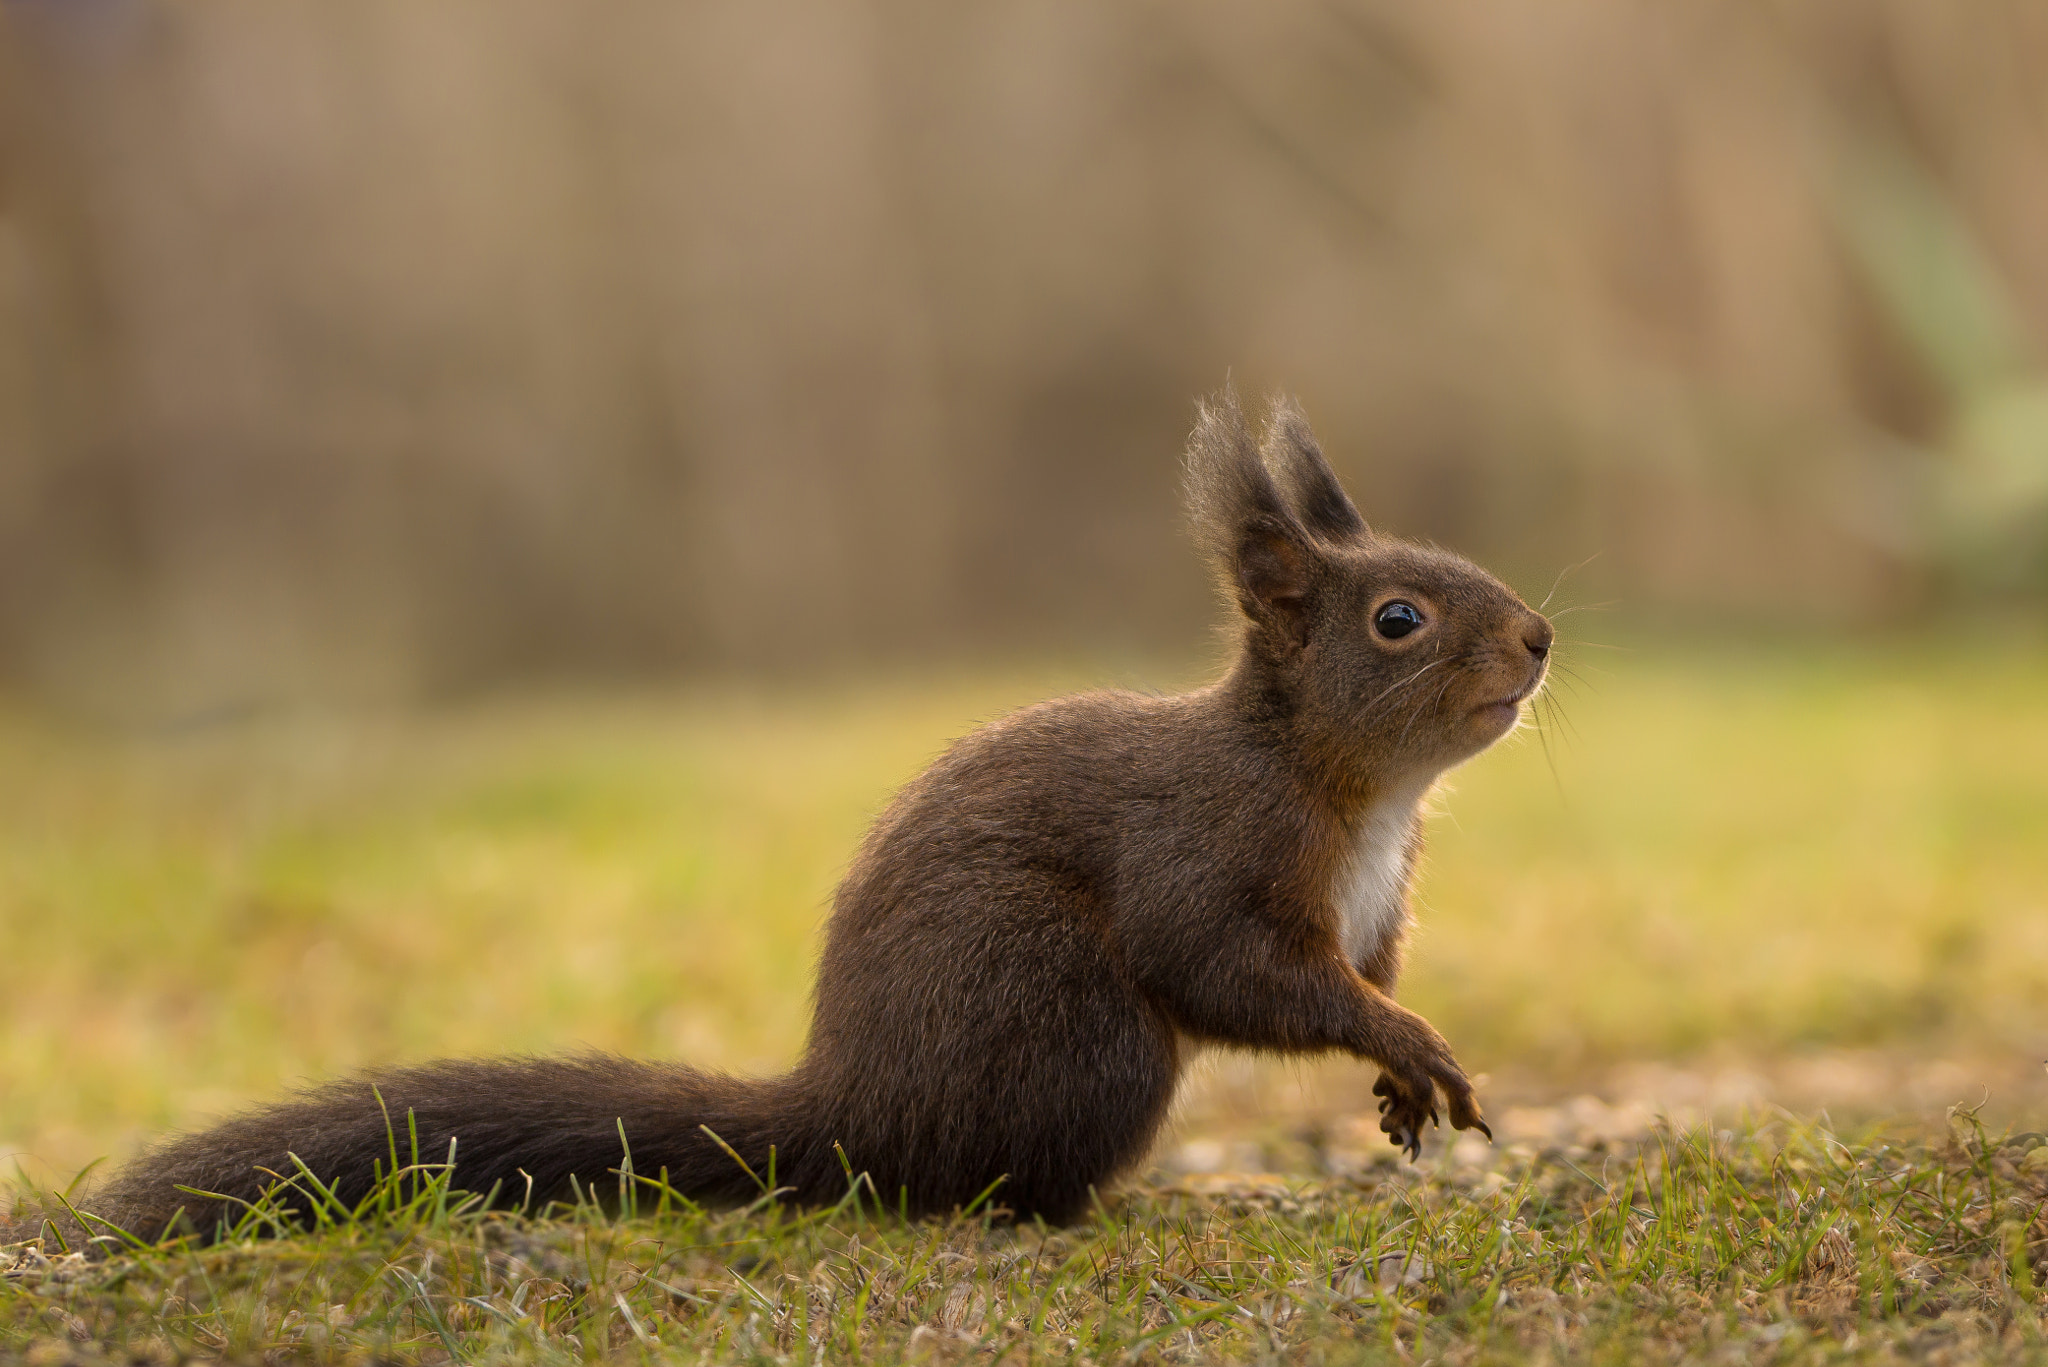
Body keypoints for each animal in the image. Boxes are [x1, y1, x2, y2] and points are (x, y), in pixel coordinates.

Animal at [24, 388, 1551, 1244]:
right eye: (1398, 618)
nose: (1537, 638)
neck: (1357, 791)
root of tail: (853, 1108)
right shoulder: (1204, 851)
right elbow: (1235, 971)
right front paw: (1408, 1044)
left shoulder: (1379, 895)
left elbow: (1358, 972)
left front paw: (1397, 1073)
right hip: (1078, 1031)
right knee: (974, 1183)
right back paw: (1074, 1208)